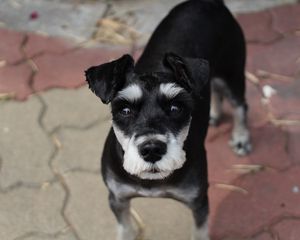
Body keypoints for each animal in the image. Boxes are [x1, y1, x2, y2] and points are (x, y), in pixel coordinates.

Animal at [85, 0, 251, 239]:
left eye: (175, 107)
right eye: (125, 110)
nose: (152, 149)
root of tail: (211, 3)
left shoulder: (199, 201)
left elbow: (200, 232)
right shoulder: (118, 197)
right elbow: (125, 228)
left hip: (232, 73)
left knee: (240, 105)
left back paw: (240, 138)